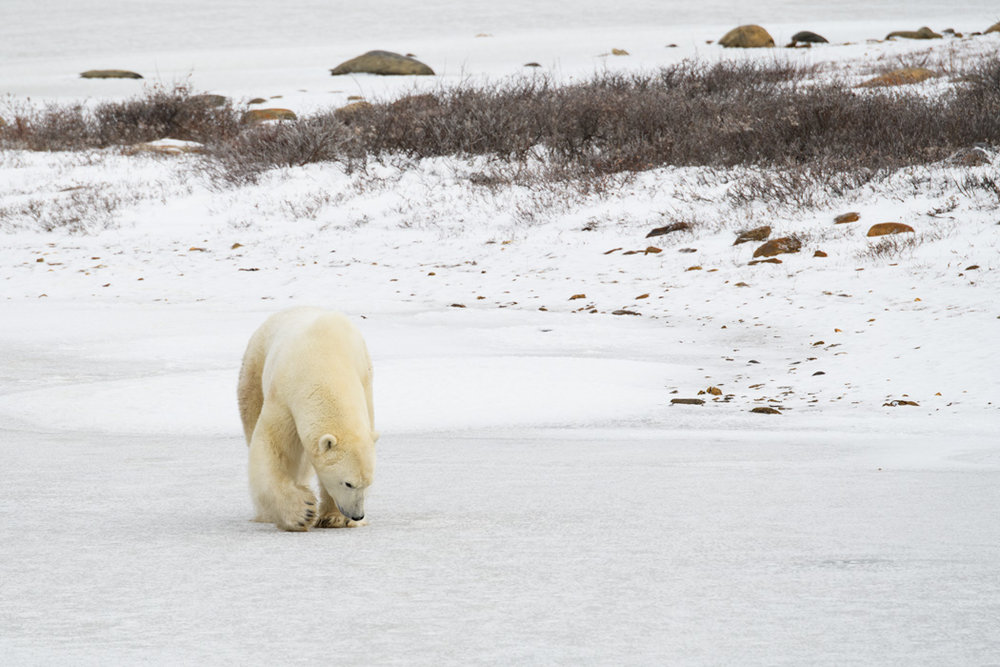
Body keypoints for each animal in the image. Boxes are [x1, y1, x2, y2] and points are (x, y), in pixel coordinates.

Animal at [237, 307, 377, 531]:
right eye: (347, 483)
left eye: (368, 483)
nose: (357, 514)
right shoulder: (284, 395)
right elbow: (272, 448)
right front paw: (303, 512)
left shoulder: (365, 384)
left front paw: (334, 518)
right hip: (254, 368)